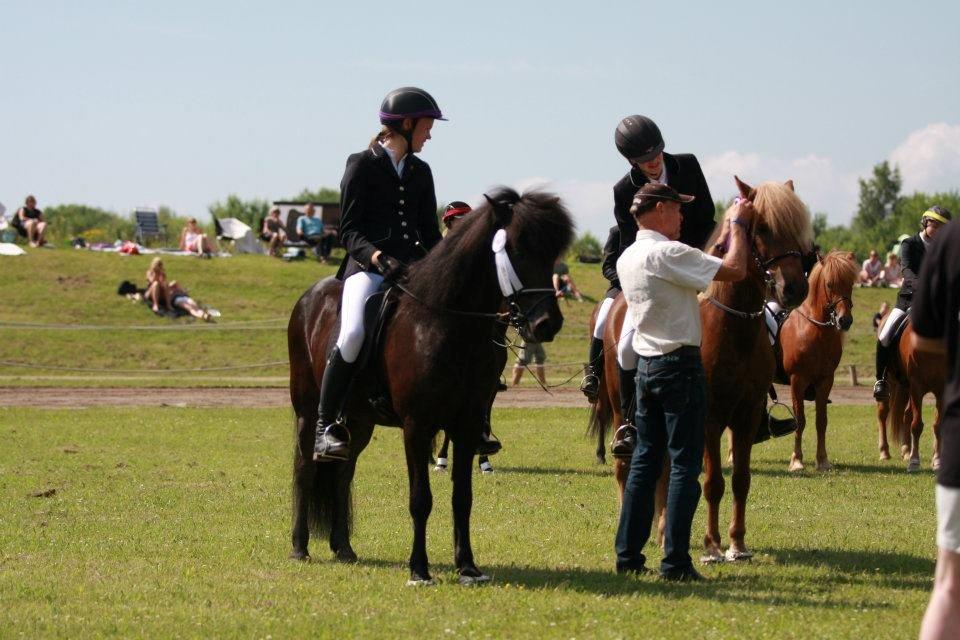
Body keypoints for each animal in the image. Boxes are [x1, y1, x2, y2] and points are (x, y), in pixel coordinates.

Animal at [284, 186, 568, 584]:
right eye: (516, 249)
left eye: (553, 254)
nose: (547, 324)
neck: (446, 322)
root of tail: (309, 298)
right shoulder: (416, 426)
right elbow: (421, 499)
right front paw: (419, 569)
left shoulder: (467, 424)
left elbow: (462, 498)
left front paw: (468, 567)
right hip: (308, 411)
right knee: (304, 467)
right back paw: (300, 547)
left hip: (358, 421)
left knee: (342, 472)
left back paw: (344, 547)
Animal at [776, 249, 860, 470]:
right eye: (829, 284)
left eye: (851, 283)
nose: (844, 320)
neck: (814, 331)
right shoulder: (797, 381)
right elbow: (800, 420)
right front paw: (797, 460)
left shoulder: (825, 380)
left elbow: (821, 421)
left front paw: (822, 460)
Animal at [876, 318, 944, 472]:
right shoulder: (917, 386)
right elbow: (917, 425)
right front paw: (914, 462)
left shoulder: (941, 389)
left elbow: (937, 426)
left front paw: (937, 461)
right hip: (892, 382)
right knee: (883, 414)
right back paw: (884, 452)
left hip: (906, 388)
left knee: (906, 415)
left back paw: (906, 450)